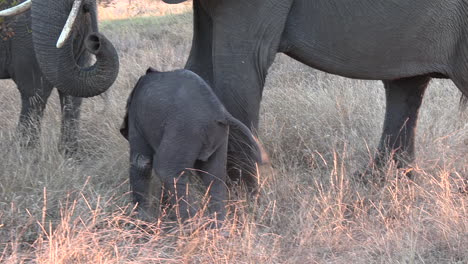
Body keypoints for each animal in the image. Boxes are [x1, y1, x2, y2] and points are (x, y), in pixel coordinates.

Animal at [120, 68, 266, 227]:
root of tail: (220, 113)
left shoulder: (137, 121)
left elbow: (141, 162)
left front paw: (141, 220)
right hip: (216, 134)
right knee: (214, 177)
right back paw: (218, 227)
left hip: (185, 130)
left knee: (167, 171)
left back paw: (191, 227)